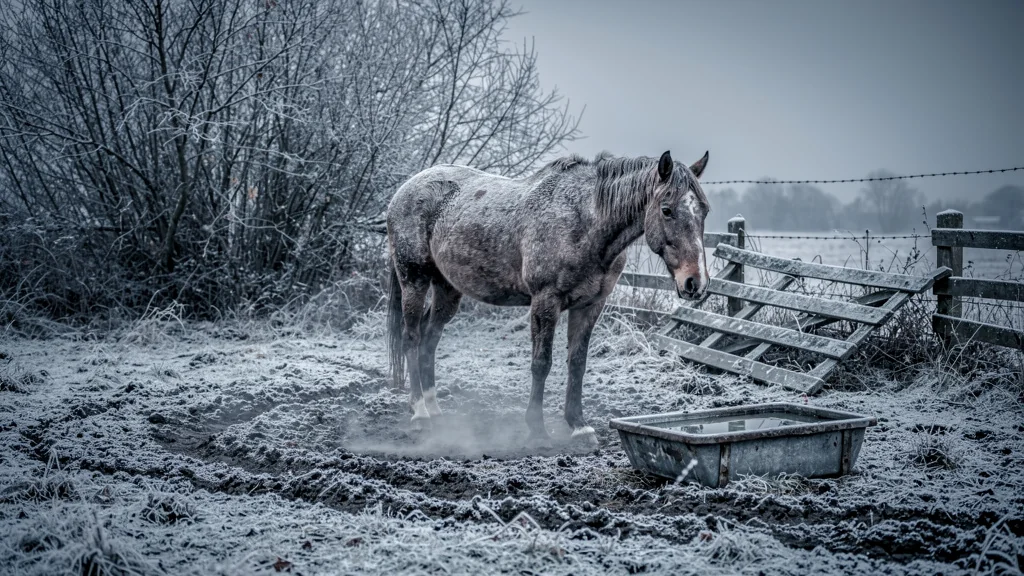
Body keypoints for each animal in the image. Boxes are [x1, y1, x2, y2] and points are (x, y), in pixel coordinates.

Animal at [385, 150, 710, 442]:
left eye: (704, 210)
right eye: (666, 209)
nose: (695, 282)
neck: (585, 223)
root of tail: (405, 190)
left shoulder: (590, 305)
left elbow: (577, 363)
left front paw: (579, 426)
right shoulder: (546, 302)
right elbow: (541, 363)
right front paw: (537, 429)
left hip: (447, 288)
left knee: (429, 340)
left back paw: (434, 409)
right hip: (414, 279)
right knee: (411, 337)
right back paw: (420, 413)